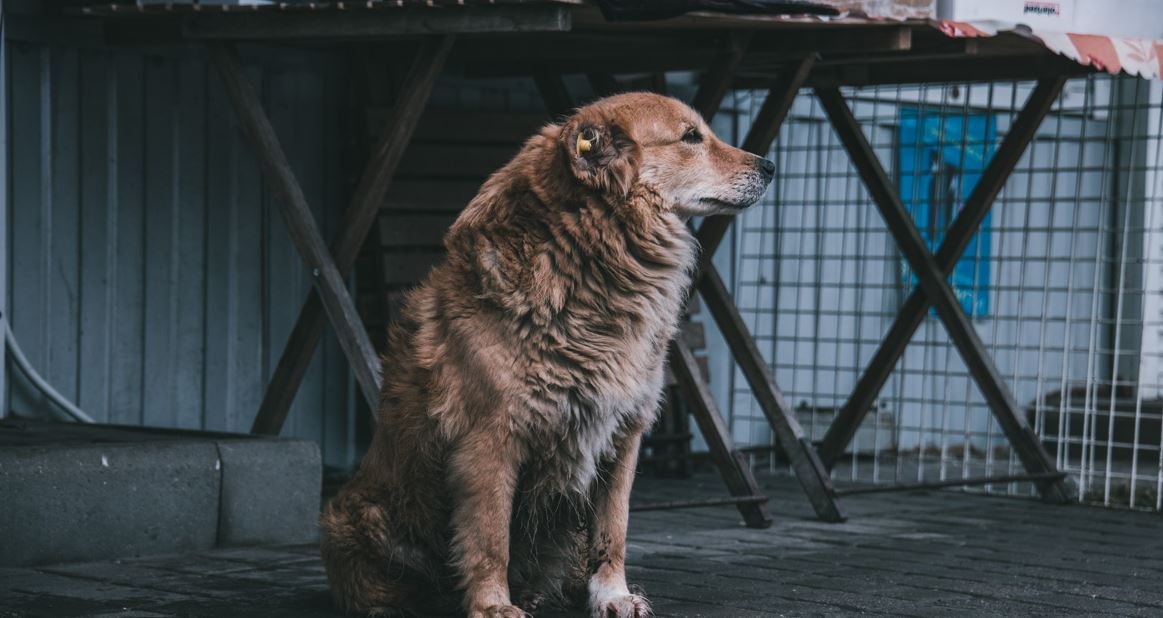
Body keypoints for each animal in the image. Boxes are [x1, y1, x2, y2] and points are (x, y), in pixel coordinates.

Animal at [320, 93, 772, 618]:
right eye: (691, 137)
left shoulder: (623, 434)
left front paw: (611, 593)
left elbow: (612, 529)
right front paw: (492, 605)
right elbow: (490, 536)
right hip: (358, 518)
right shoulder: (489, 440)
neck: (592, 262)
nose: (770, 166)